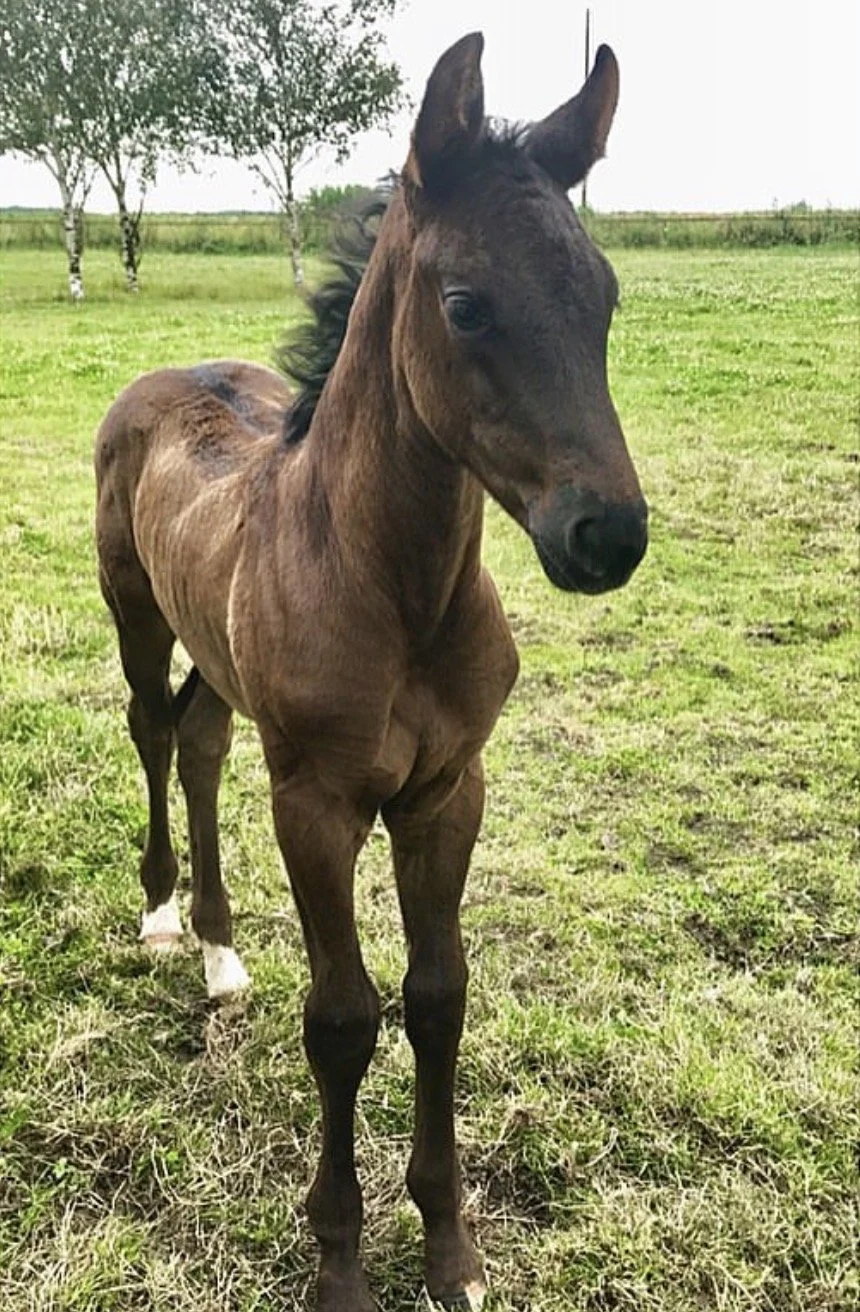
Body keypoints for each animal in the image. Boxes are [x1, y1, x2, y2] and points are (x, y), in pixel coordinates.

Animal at [95, 33, 647, 1312]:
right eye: (464, 304)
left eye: (602, 297)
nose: (606, 534)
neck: (394, 591)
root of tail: (164, 375)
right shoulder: (317, 804)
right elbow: (343, 1018)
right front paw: (339, 1260)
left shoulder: (446, 792)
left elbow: (437, 996)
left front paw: (450, 1248)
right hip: (134, 609)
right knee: (151, 728)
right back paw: (163, 918)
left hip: (221, 659)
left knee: (200, 738)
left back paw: (222, 955)